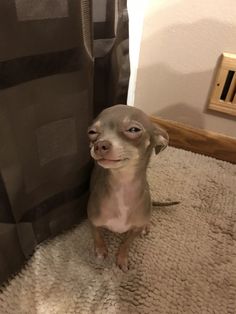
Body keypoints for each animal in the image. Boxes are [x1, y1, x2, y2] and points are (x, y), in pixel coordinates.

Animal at [86, 104, 170, 272]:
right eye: (92, 132)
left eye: (133, 130)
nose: (100, 145)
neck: (122, 185)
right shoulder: (92, 219)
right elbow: (96, 235)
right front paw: (100, 250)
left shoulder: (134, 231)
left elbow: (127, 243)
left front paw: (122, 258)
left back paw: (145, 226)